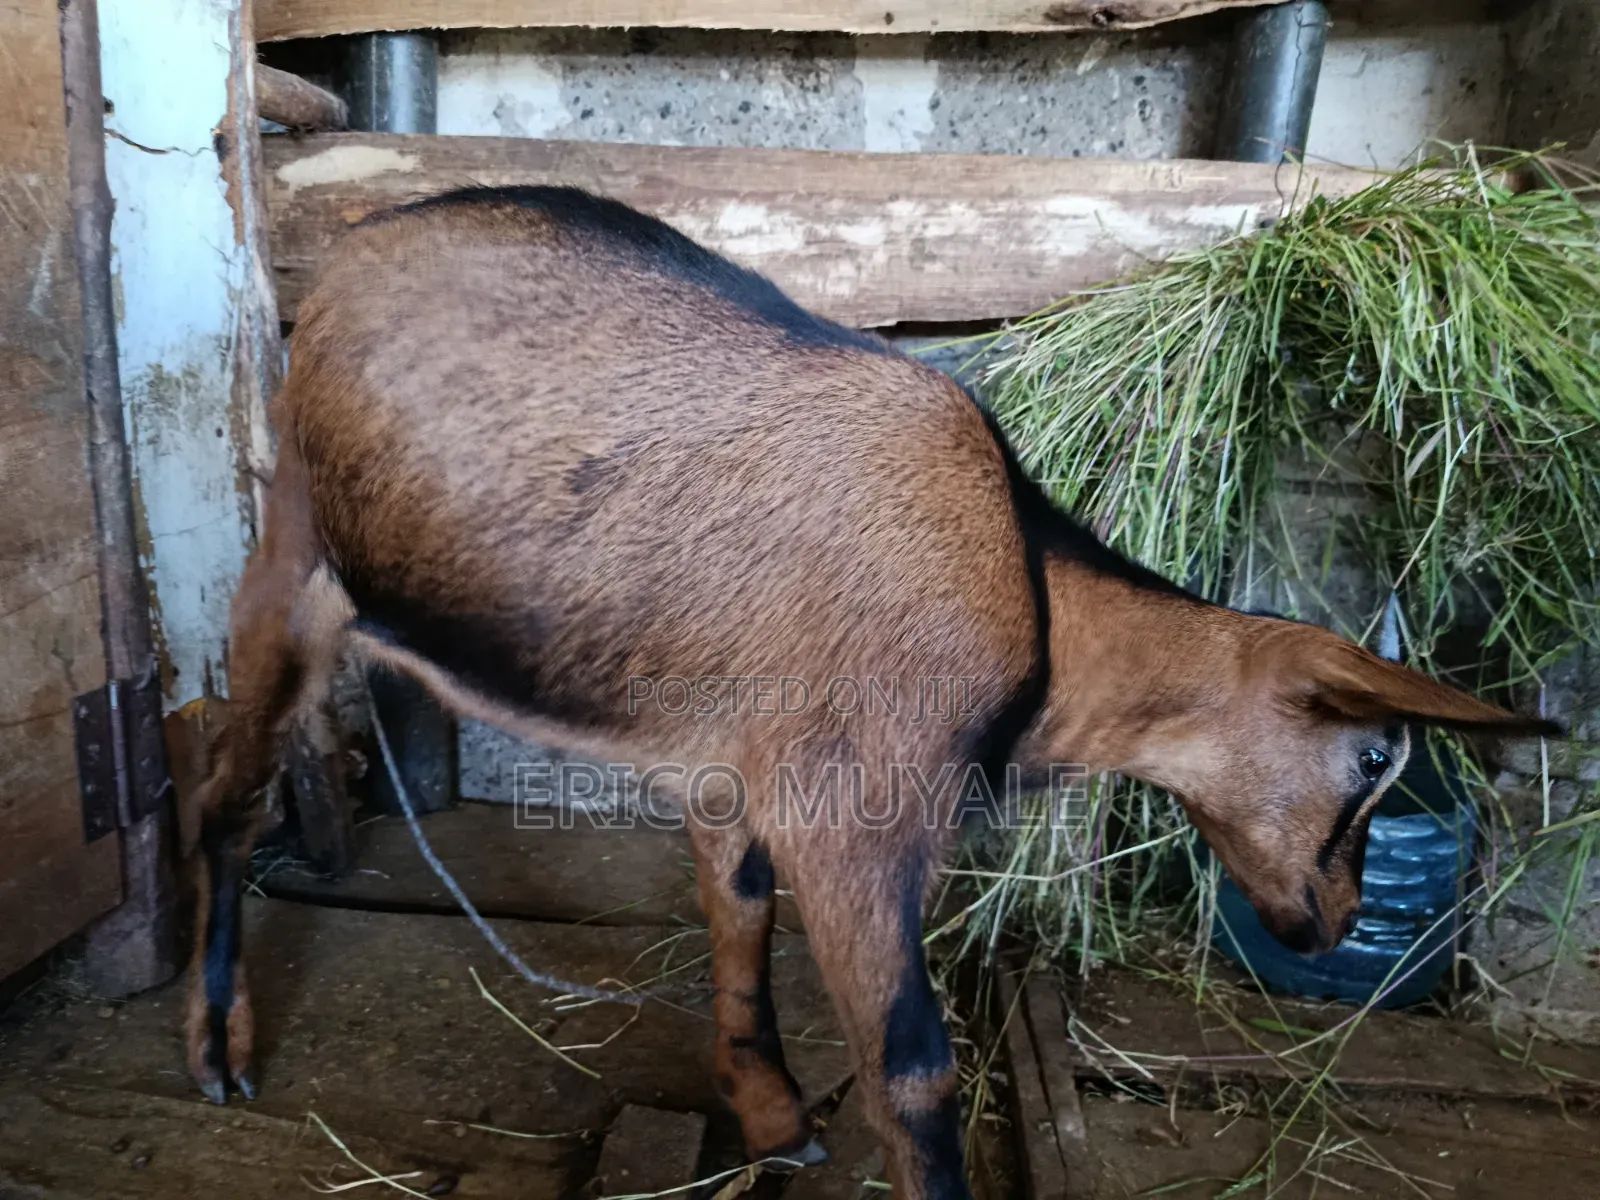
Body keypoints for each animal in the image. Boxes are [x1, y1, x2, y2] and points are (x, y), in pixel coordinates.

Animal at [187, 187, 1556, 1198]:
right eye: (1373, 759)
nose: (1336, 920)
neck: (1034, 602)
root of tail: (342, 262)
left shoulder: (738, 767)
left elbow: (740, 926)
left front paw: (769, 1117)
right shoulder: (855, 812)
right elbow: (911, 1069)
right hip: (289, 563)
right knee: (222, 797)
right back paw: (217, 1050)